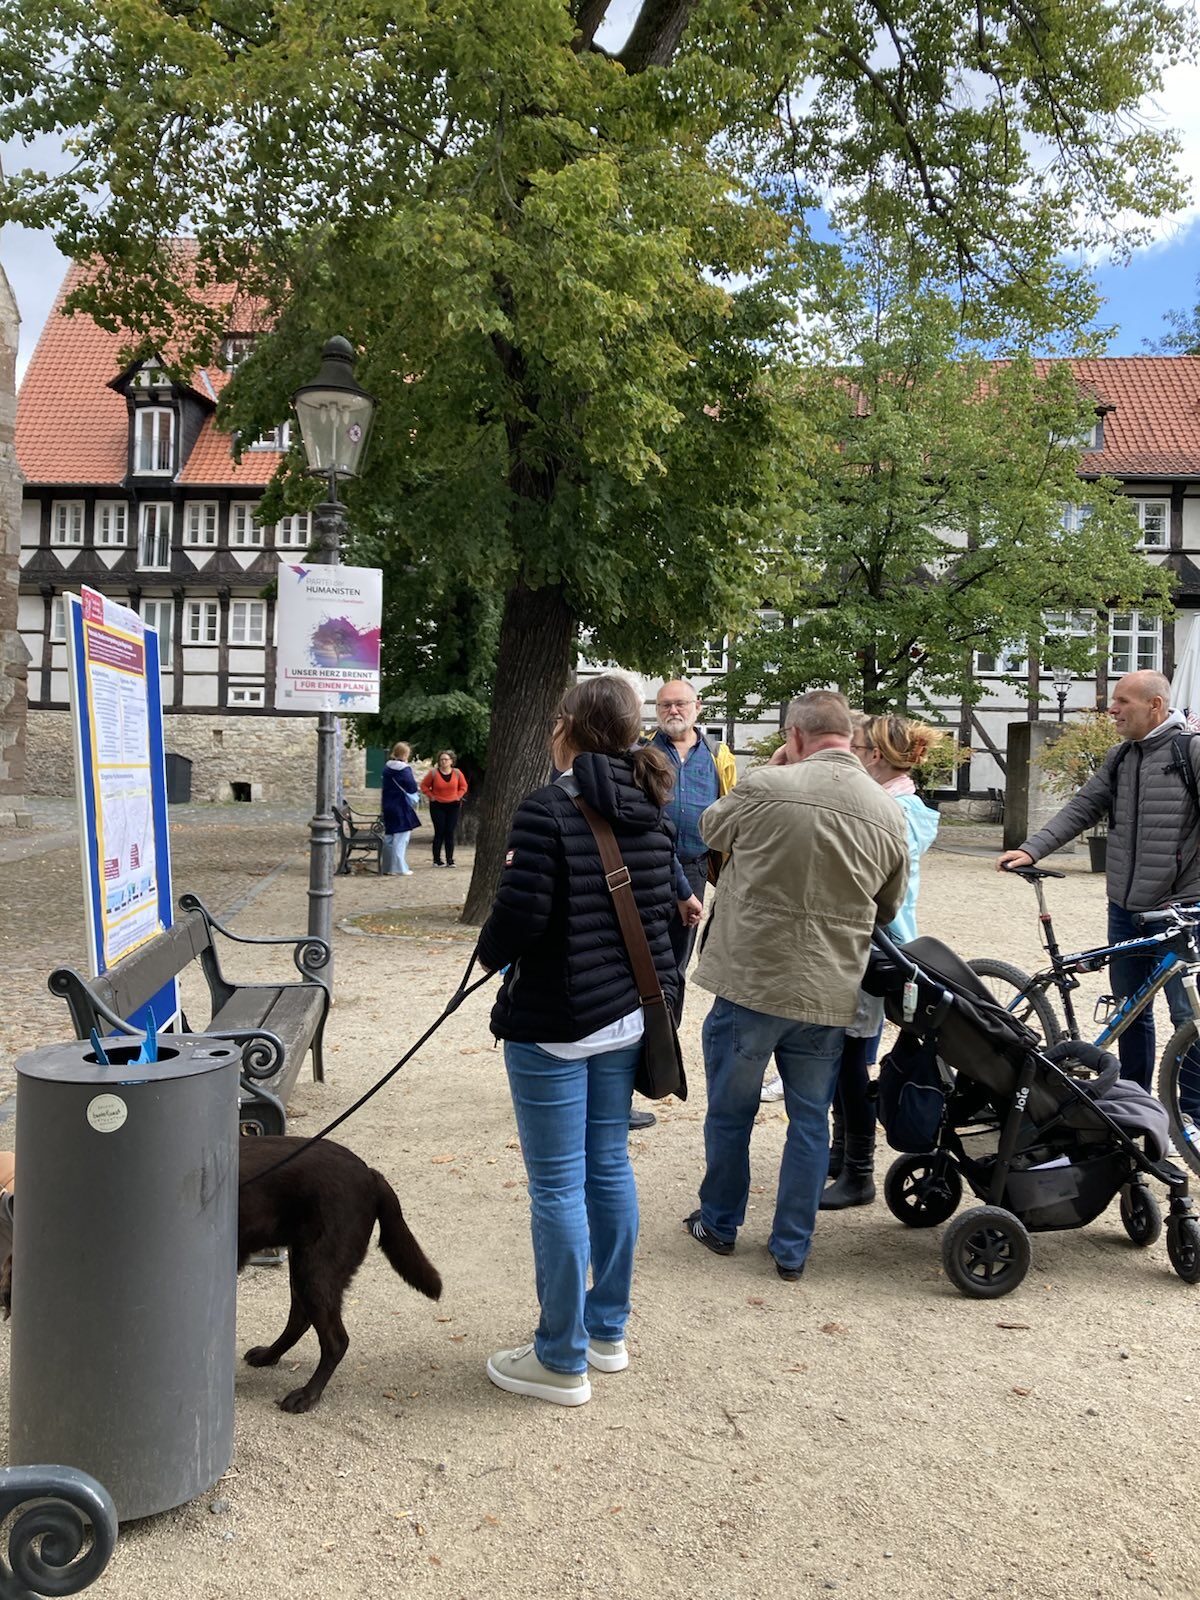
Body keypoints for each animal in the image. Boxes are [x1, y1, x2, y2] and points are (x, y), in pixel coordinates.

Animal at [1, 1139, 441, 1414]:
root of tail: (370, 1174)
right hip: (305, 1261)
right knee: (300, 1318)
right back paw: (269, 1356)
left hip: (317, 1265)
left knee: (335, 1340)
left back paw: (306, 1396)